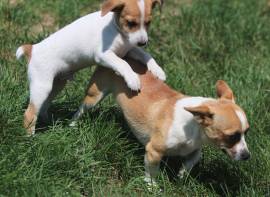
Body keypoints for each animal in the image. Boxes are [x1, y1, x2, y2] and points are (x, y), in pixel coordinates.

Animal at [16, 0, 167, 135]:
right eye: (131, 23)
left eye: (148, 23)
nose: (143, 42)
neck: (117, 30)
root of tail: (32, 49)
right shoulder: (104, 55)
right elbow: (123, 64)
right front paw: (132, 79)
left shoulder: (129, 50)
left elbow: (146, 55)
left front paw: (158, 71)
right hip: (42, 86)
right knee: (30, 113)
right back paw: (31, 138)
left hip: (57, 85)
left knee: (43, 107)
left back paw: (50, 124)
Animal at [72, 58, 251, 186]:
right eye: (232, 136)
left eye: (246, 132)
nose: (247, 156)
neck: (193, 128)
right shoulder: (154, 151)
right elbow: (152, 171)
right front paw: (152, 186)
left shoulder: (195, 148)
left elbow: (193, 159)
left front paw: (182, 174)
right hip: (94, 96)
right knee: (81, 109)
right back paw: (73, 124)